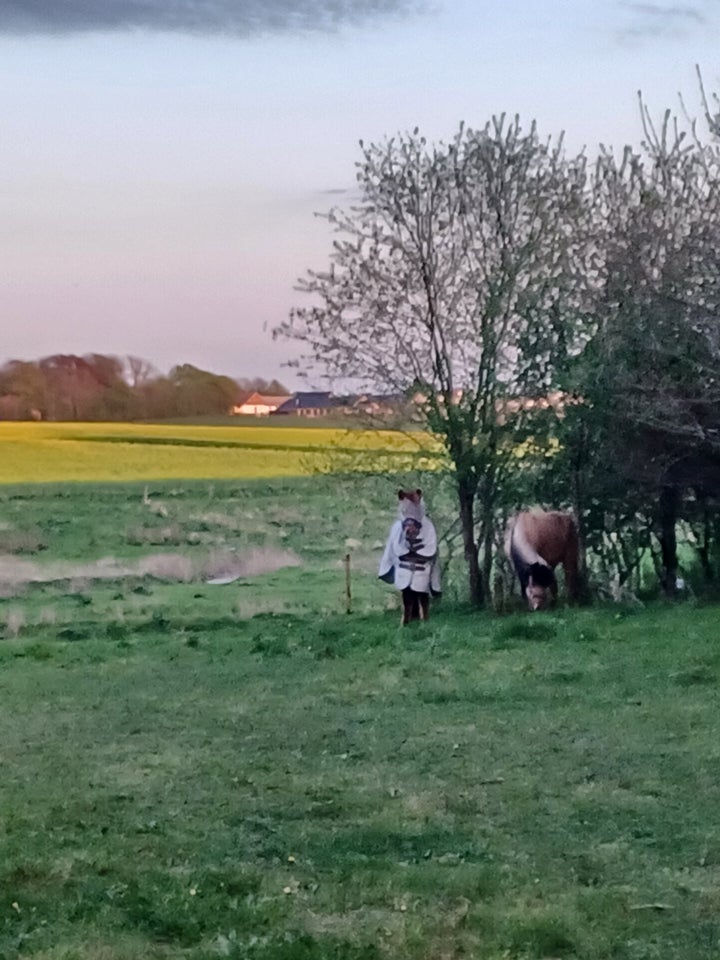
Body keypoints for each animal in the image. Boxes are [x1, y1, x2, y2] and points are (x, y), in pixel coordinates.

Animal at [380, 488, 442, 624]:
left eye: (418, 511)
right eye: (402, 511)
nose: (410, 531)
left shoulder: (422, 576)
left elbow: (423, 599)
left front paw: (425, 622)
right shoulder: (404, 573)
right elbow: (407, 600)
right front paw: (405, 623)